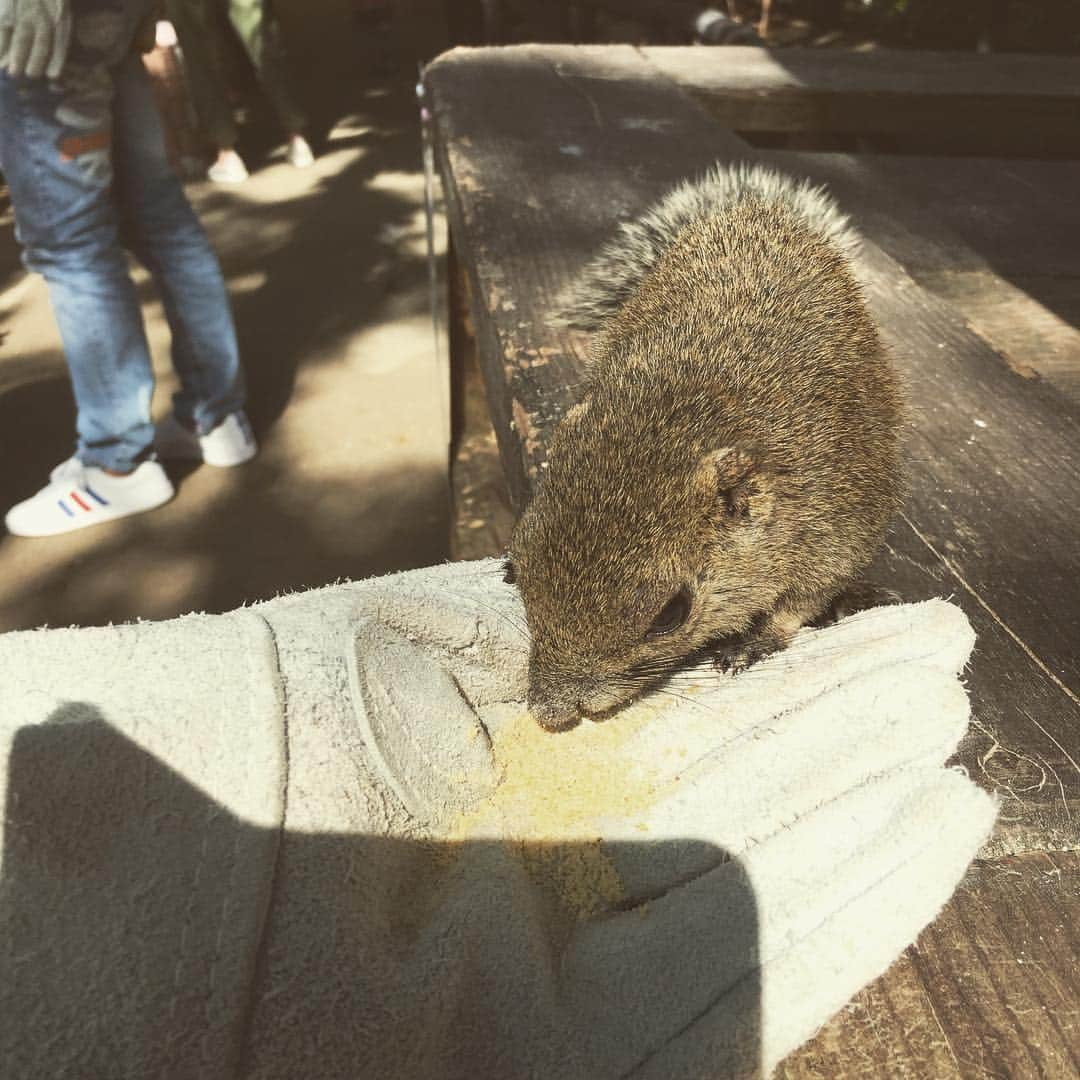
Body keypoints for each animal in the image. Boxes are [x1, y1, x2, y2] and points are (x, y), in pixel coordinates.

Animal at [501, 162, 907, 734]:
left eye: (672, 613)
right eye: (515, 566)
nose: (552, 709)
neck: (680, 414)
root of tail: (761, 218)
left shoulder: (837, 529)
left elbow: (800, 602)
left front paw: (754, 642)